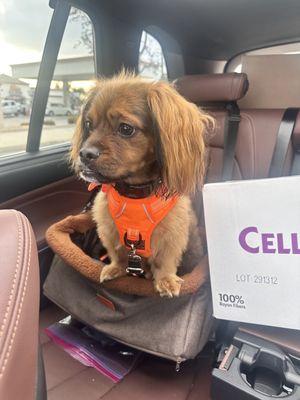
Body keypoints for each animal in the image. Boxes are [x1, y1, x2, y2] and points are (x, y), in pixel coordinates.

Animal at [71, 71, 213, 296]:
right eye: (88, 124)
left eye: (126, 128)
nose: (85, 154)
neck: (134, 194)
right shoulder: (109, 229)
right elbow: (118, 254)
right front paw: (115, 268)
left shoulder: (171, 235)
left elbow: (165, 261)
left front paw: (166, 280)